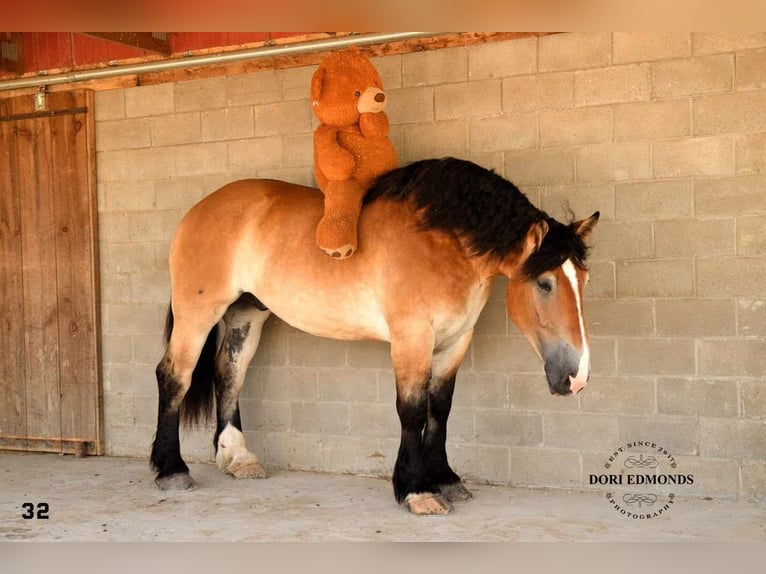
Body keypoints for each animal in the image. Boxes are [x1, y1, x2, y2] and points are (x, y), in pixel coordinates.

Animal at [150, 156, 600, 516]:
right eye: (544, 283)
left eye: (584, 279)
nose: (576, 378)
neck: (443, 243)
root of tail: (198, 211)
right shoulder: (412, 337)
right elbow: (412, 410)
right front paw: (416, 491)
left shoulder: (456, 340)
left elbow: (440, 409)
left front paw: (446, 479)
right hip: (197, 313)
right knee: (174, 376)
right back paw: (171, 470)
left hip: (247, 314)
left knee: (230, 372)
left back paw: (239, 457)